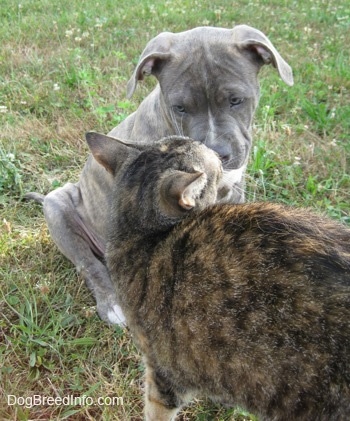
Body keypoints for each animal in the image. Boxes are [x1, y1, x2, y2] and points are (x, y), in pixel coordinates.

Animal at [26, 24, 292, 324]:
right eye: (180, 107)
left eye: (236, 100)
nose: (217, 151)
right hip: (57, 207)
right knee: (87, 263)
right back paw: (112, 303)